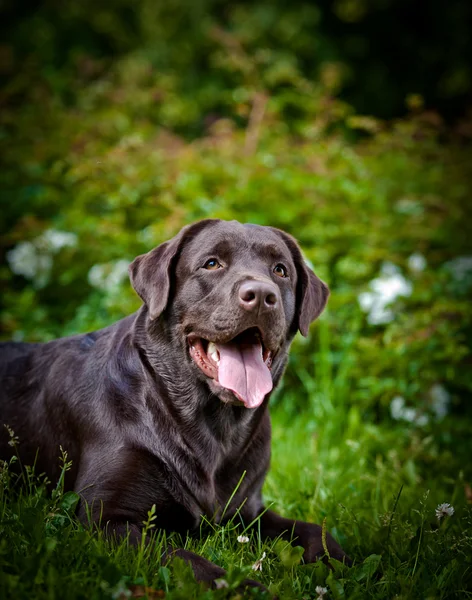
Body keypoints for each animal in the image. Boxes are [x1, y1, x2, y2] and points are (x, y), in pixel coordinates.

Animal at [0, 219, 350, 584]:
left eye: (280, 270)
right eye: (211, 264)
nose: (261, 296)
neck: (212, 426)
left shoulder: (248, 511)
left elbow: (314, 530)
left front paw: (337, 562)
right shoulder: (104, 520)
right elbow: (190, 561)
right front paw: (245, 587)